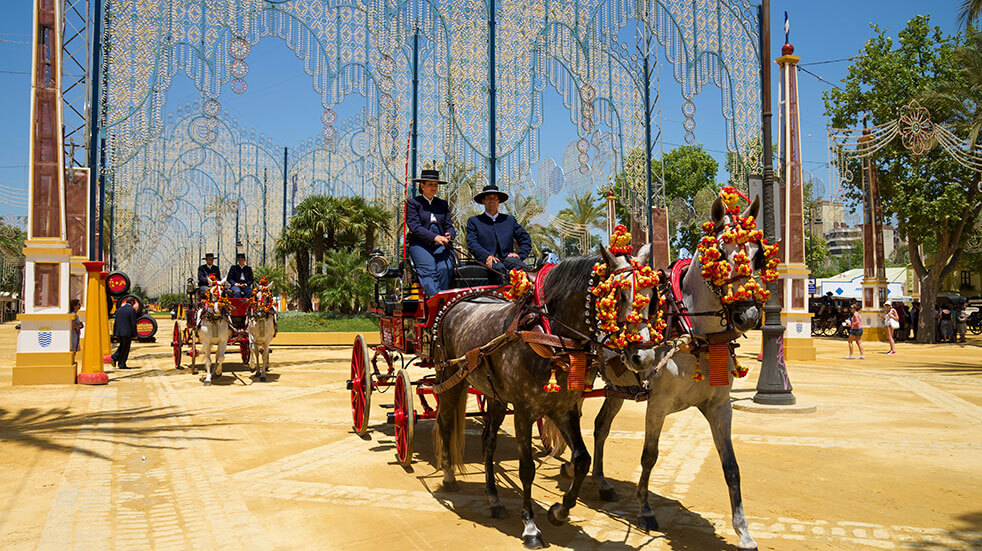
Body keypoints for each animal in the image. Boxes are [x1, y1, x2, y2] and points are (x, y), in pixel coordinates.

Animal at [436, 247, 660, 551]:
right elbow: (527, 468)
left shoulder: (564, 408)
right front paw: (530, 526)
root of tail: (459, 300)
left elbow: (582, 459)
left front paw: (559, 512)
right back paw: (448, 476)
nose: (644, 357)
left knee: (488, 440)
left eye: (651, 296)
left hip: (495, 396)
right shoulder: (523, 411)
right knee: (445, 423)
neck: (549, 336)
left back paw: (494, 499)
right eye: (617, 297)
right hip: (451, 379)